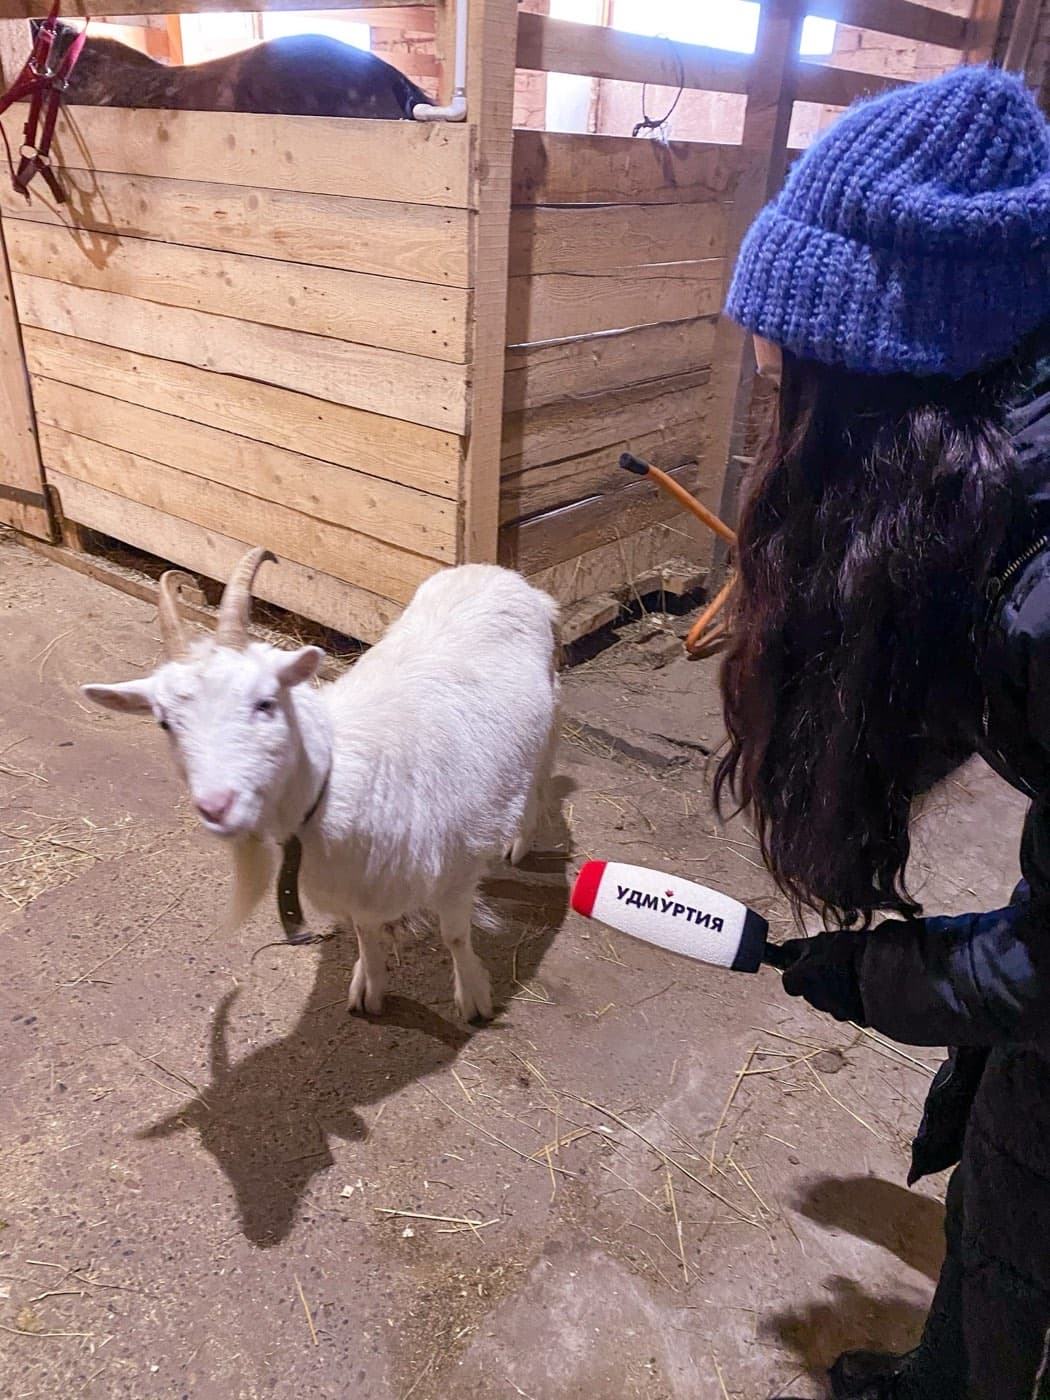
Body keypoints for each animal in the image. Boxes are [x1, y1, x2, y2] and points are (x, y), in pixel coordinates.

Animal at [82, 551, 560, 1022]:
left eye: (265, 702)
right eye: (164, 722)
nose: (216, 806)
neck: (336, 780)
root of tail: (496, 573)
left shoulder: (457, 869)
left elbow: (456, 935)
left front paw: (473, 995)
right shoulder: (357, 889)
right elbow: (366, 933)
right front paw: (370, 985)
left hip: (548, 719)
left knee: (539, 780)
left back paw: (520, 842)